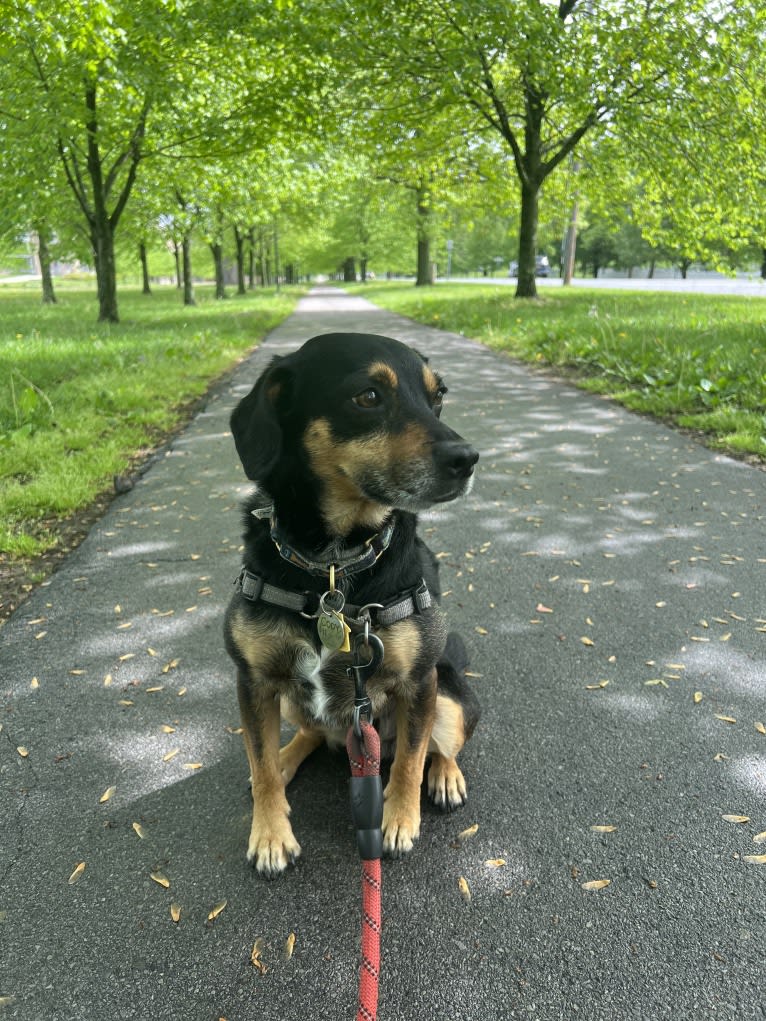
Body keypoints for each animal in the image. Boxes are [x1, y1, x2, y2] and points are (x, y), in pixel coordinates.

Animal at [221, 330, 480, 873]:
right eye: (368, 396)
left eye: (438, 397)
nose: (468, 459)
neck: (333, 567)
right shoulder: (253, 681)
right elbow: (260, 760)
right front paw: (270, 833)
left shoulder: (417, 684)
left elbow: (408, 761)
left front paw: (399, 821)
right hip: (291, 699)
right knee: (310, 735)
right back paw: (287, 755)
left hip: (448, 695)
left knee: (439, 747)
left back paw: (445, 776)